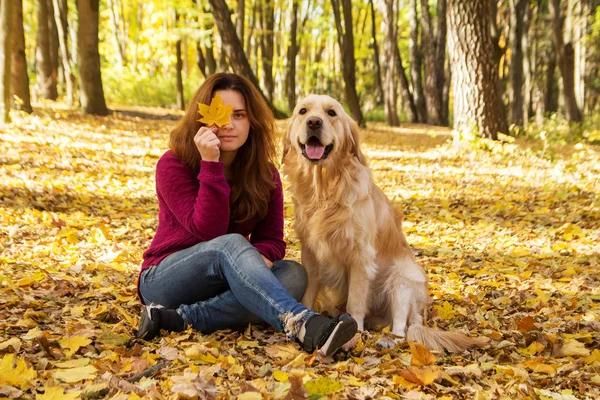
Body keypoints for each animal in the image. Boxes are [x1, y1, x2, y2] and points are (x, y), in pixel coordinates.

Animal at [284, 95, 490, 352]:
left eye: (331, 113)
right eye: (303, 111)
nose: (313, 122)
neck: (324, 190)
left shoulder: (361, 256)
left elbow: (355, 301)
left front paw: (353, 333)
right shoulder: (310, 252)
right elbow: (309, 292)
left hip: (402, 279)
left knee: (402, 329)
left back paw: (387, 339)